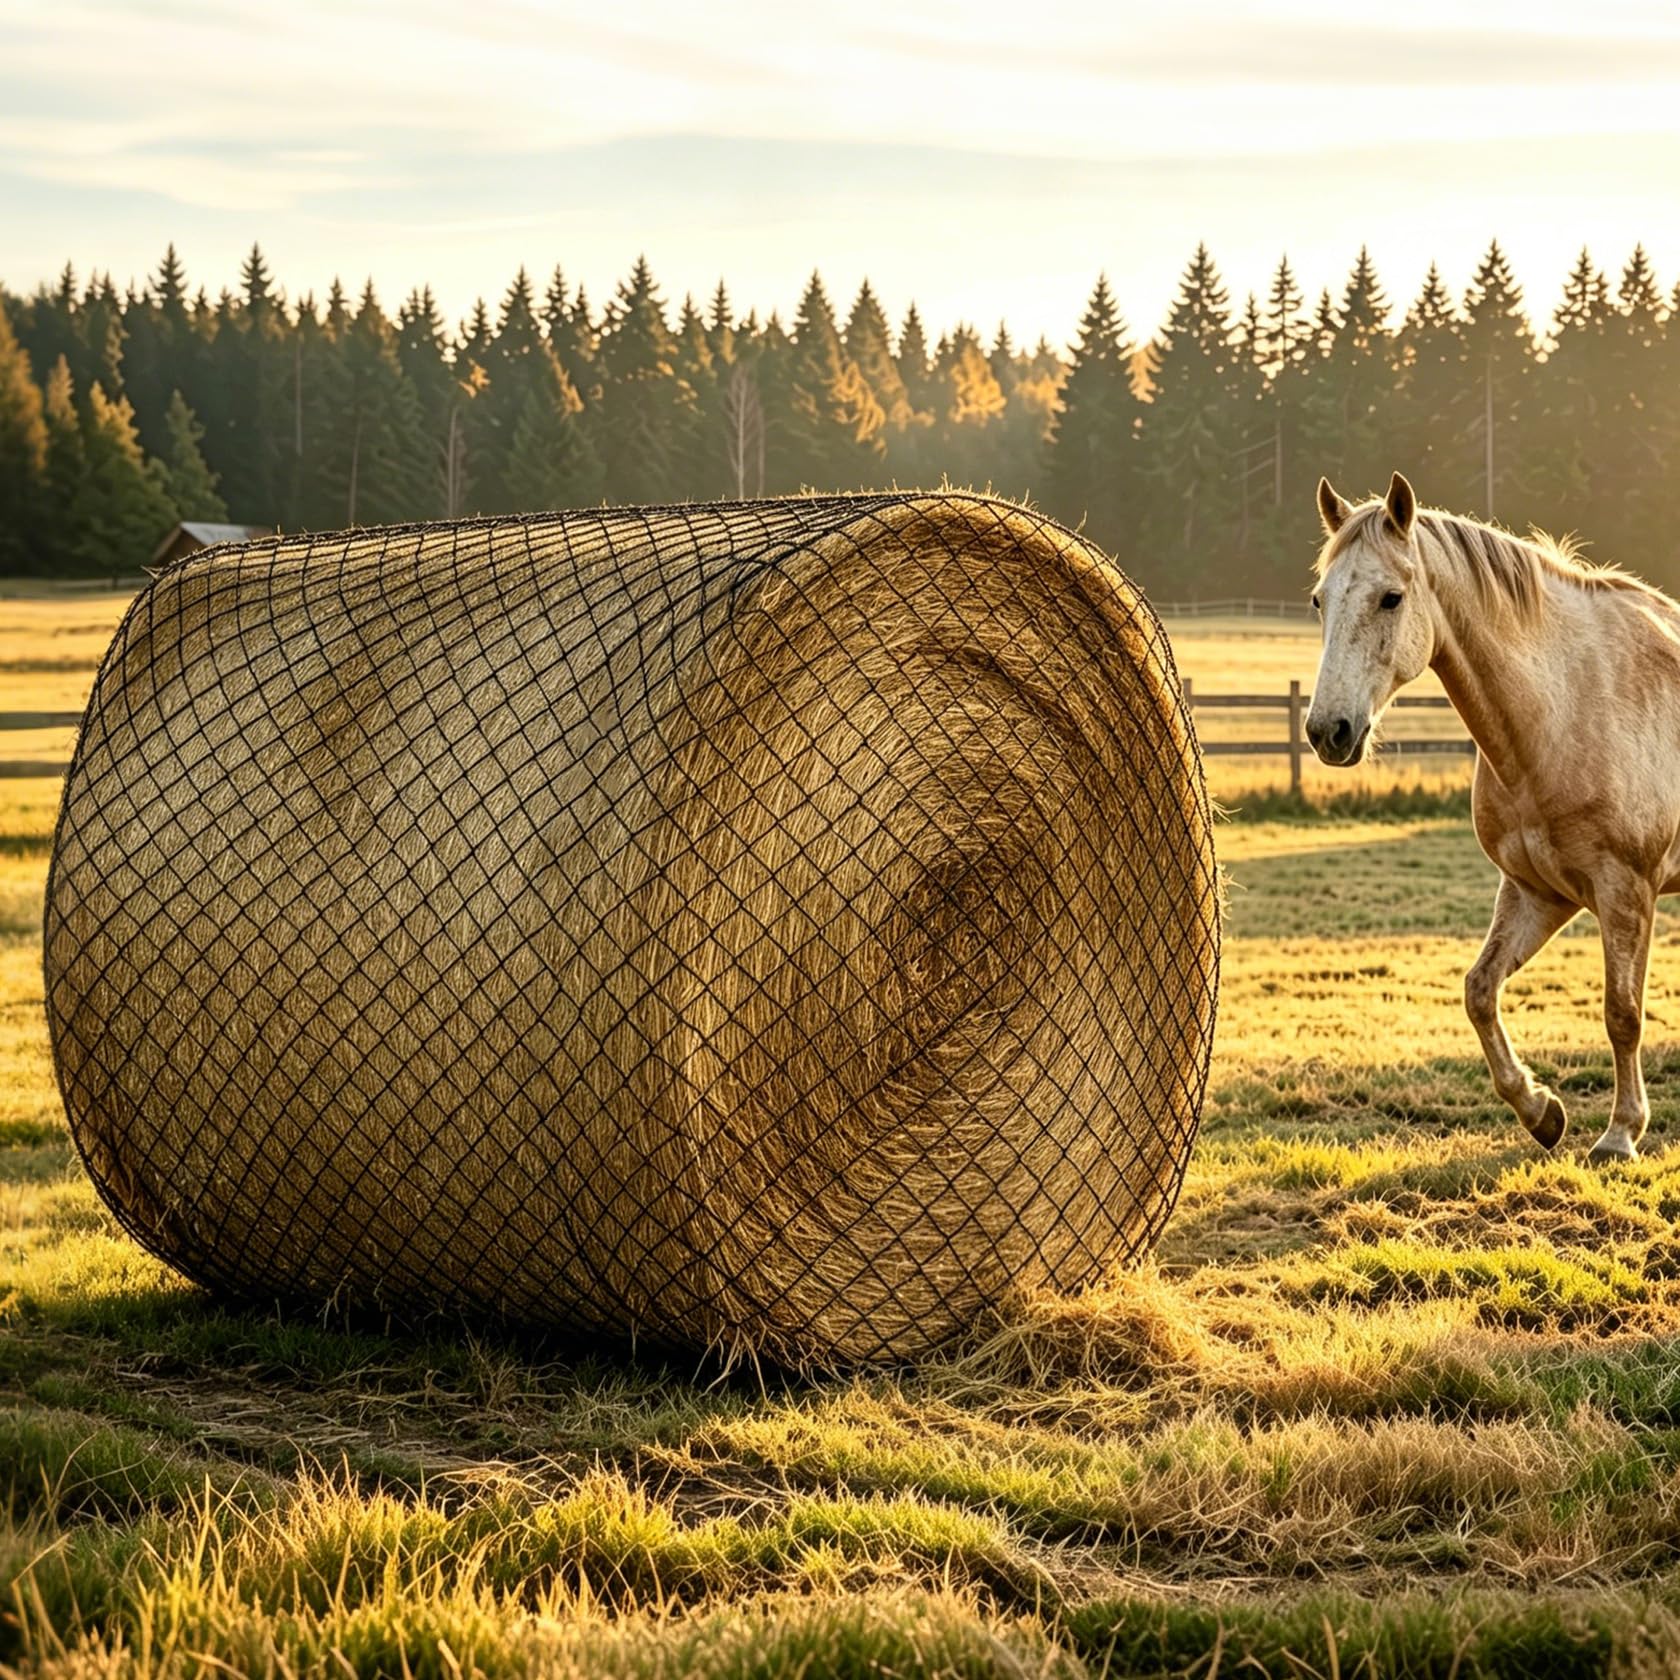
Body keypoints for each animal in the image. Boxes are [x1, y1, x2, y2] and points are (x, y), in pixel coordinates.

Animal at [1305, 471, 1680, 1163]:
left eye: (1391, 598)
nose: (1328, 731)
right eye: (1321, 600)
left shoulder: (1626, 892)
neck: (1566, 705)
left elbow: (1622, 1012)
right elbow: (1479, 991)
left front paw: (1620, 1134)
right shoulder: (1538, 892)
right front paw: (1541, 1111)